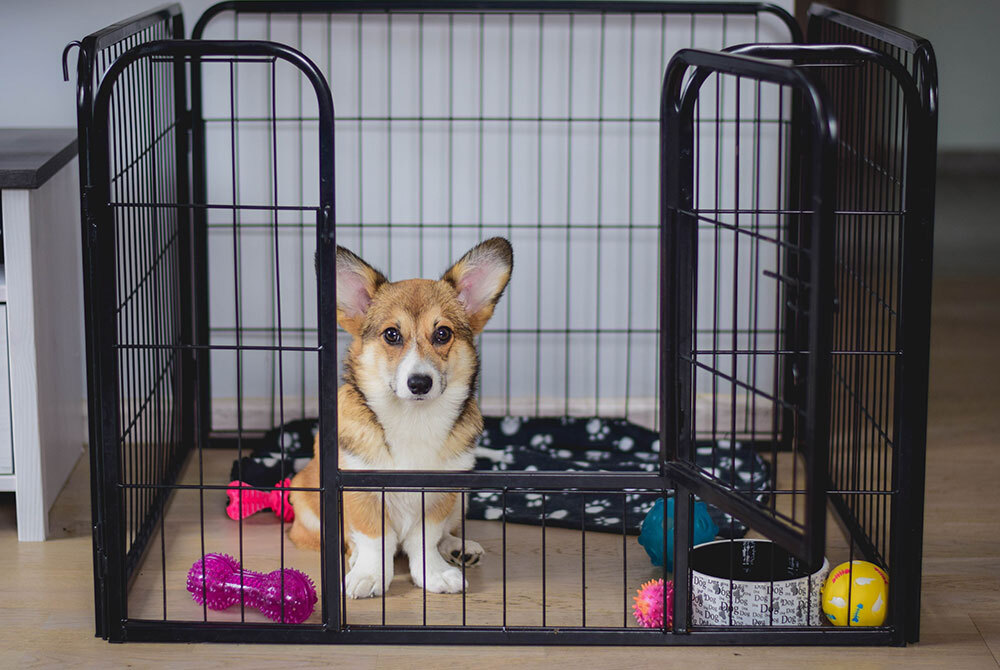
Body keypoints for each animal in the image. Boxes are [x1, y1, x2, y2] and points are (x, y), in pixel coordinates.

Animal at [286, 235, 512, 600]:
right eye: (392, 334)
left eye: (443, 334)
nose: (419, 383)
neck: (412, 419)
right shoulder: (360, 493)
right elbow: (373, 540)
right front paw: (368, 575)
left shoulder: (438, 497)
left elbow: (426, 541)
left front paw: (435, 574)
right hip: (307, 506)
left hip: (461, 498)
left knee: (444, 534)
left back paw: (459, 548)